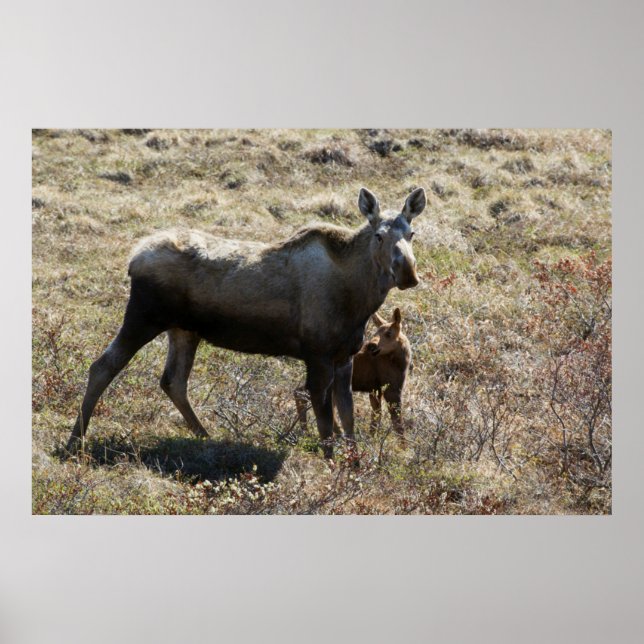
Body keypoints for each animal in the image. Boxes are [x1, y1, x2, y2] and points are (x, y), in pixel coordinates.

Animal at [295, 307, 412, 437]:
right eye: (376, 333)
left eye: (388, 333)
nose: (371, 345)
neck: (401, 361)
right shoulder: (391, 389)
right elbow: (398, 425)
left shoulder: (375, 389)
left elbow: (376, 419)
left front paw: (371, 437)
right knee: (302, 393)